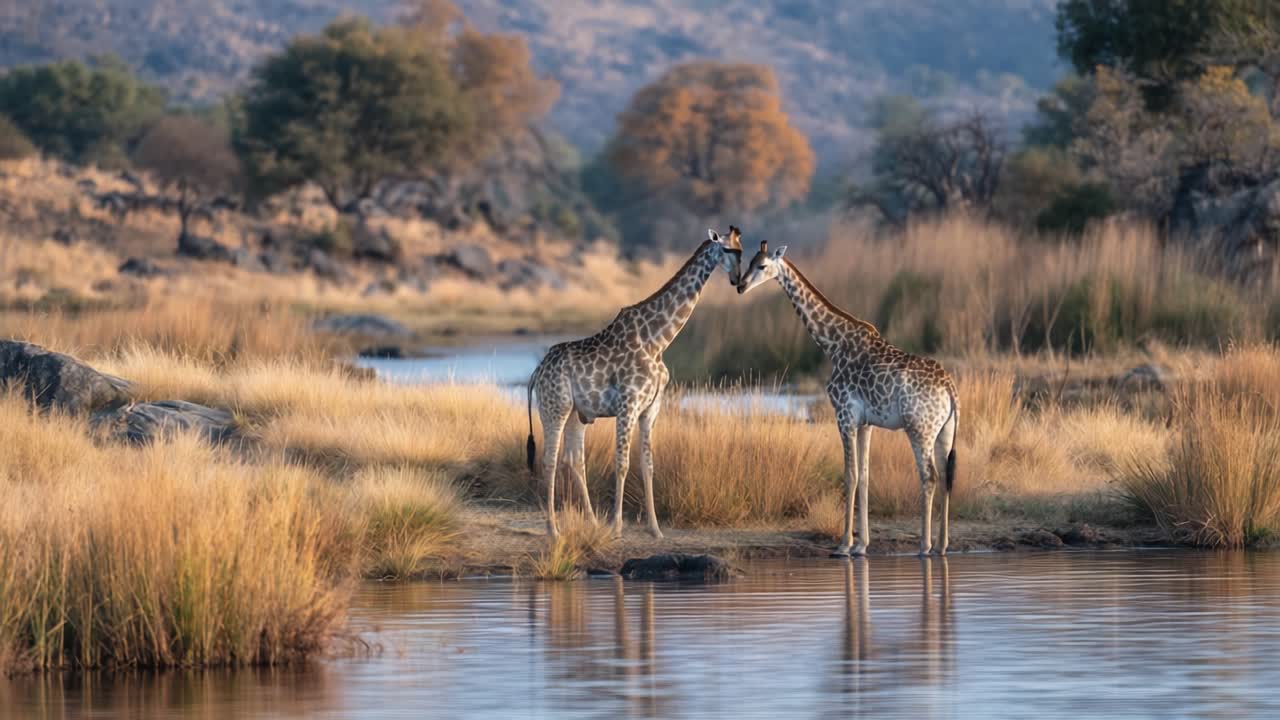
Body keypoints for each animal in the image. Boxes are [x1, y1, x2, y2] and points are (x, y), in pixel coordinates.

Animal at [526, 228, 743, 539]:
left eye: (742, 249)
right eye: (726, 249)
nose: (738, 279)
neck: (657, 341)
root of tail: (537, 370)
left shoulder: (650, 410)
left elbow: (648, 465)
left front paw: (655, 529)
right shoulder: (627, 405)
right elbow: (622, 463)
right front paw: (616, 527)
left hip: (578, 414)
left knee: (574, 459)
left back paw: (592, 522)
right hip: (555, 408)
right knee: (550, 460)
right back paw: (553, 530)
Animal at [737, 240, 959, 556]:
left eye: (762, 265)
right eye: (749, 261)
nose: (740, 286)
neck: (832, 343)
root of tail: (950, 389)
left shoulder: (844, 414)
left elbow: (849, 475)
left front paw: (844, 544)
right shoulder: (865, 422)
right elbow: (864, 477)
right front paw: (861, 544)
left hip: (919, 428)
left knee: (929, 476)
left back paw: (924, 545)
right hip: (944, 432)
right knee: (945, 478)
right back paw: (941, 545)